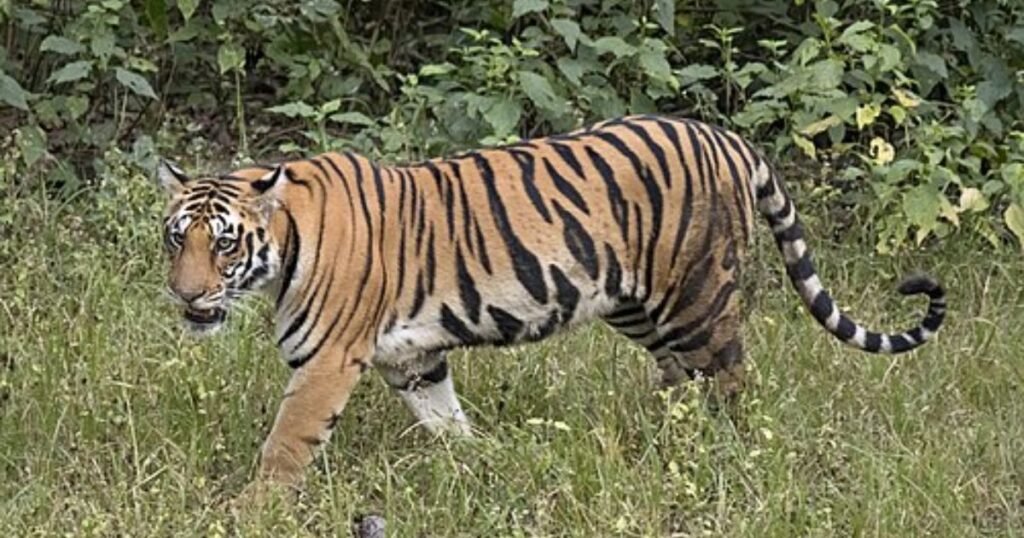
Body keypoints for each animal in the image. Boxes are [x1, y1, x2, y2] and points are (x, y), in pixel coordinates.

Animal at [155, 114, 946, 489]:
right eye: (175, 239)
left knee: (731, 381)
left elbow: (286, 444)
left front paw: (253, 510)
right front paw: (479, 465)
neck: (284, 245)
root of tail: (725, 136)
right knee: (680, 380)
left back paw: (731, 453)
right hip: (639, 306)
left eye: (223, 244)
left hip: (697, 298)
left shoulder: (326, 362)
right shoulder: (413, 358)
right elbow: (445, 419)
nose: (185, 296)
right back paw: (662, 441)